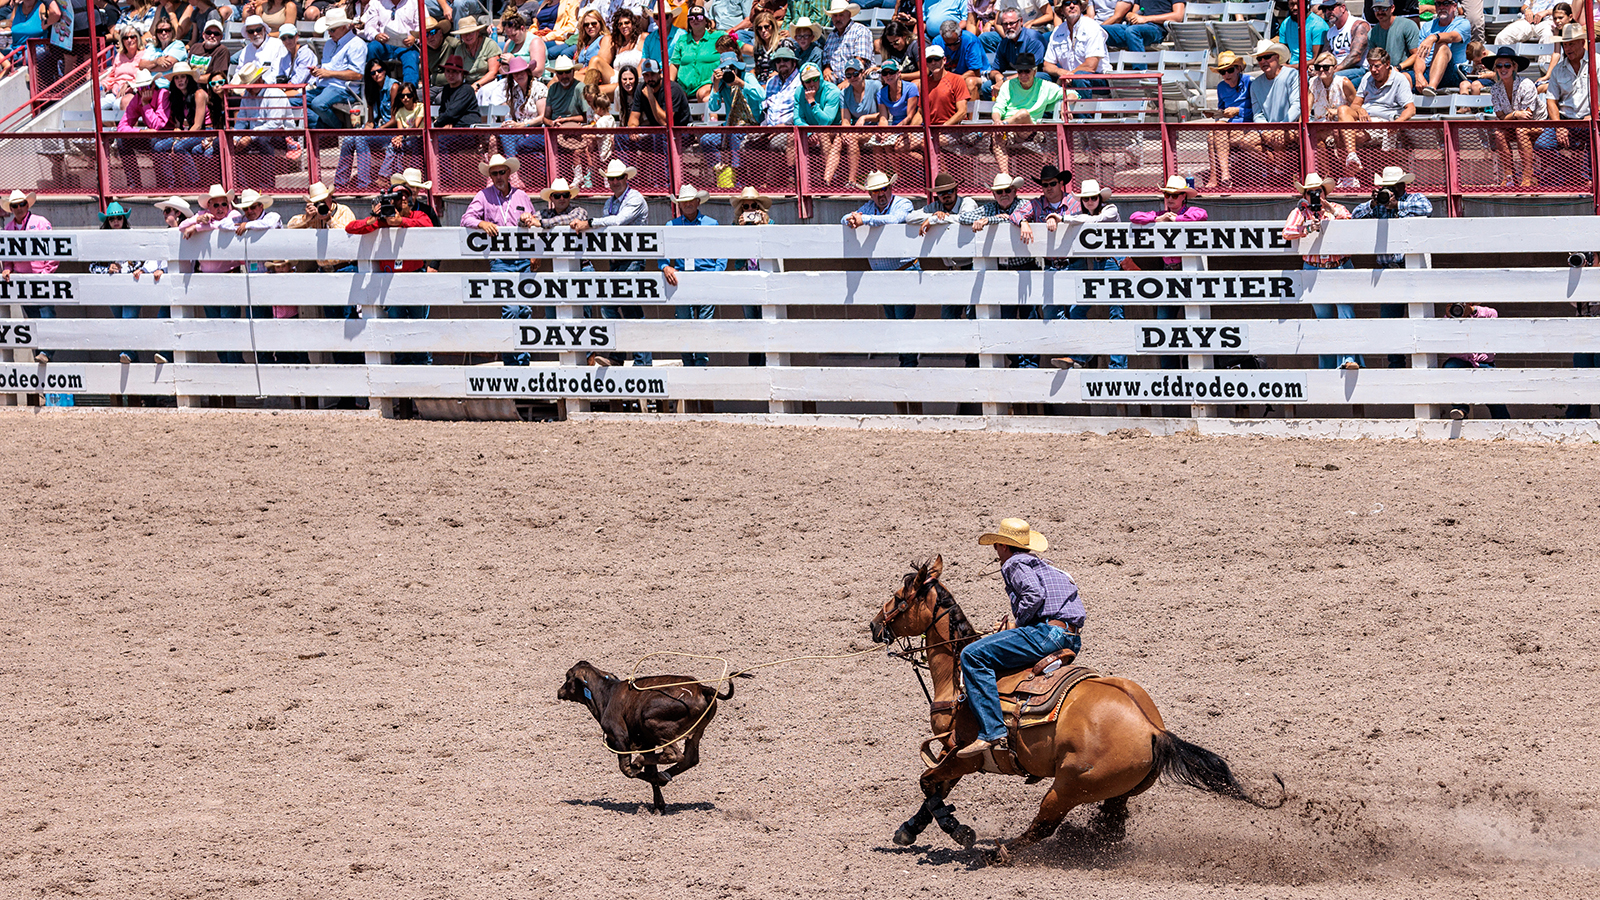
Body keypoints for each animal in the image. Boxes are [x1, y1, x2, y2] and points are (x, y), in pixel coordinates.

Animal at [870, 554, 1280, 864]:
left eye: (898, 596)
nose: (874, 625)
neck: (958, 675)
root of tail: (1153, 730)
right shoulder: (955, 752)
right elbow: (935, 789)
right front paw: (908, 830)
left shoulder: (963, 752)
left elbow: (929, 784)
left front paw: (960, 831)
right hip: (1115, 791)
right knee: (1111, 827)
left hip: (1068, 787)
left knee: (1043, 825)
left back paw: (999, 853)